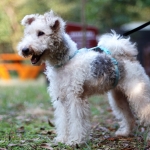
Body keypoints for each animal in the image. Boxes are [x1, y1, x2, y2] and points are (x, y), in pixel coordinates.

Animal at [17, 10, 150, 144]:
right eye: (27, 33)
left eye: (41, 33)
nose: (24, 49)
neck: (65, 62)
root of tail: (128, 57)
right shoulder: (61, 98)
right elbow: (63, 120)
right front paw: (62, 139)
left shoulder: (75, 97)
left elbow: (77, 120)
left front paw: (75, 141)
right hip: (118, 97)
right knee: (129, 117)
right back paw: (125, 133)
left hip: (138, 94)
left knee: (145, 112)